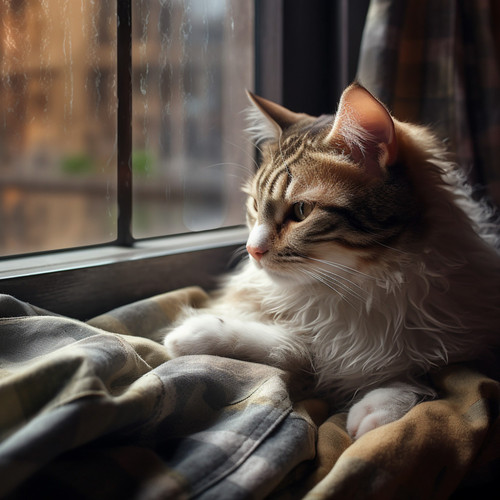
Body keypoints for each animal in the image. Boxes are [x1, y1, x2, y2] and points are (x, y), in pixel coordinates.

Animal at [162, 84, 498, 440]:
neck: (364, 285)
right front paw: (194, 334)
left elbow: (431, 376)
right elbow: (293, 346)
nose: (252, 250)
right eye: (254, 204)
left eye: (301, 212)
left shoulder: (475, 351)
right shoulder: (319, 338)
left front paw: (380, 407)